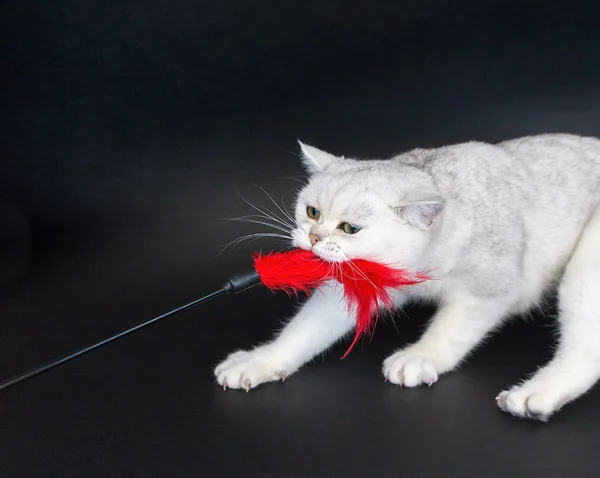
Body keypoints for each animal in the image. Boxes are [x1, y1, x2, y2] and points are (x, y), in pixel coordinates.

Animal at [214, 133, 600, 420]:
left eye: (349, 228)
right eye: (312, 212)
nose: (313, 238)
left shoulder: (489, 287)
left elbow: (450, 330)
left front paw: (421, 356)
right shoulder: (354, 286)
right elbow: (303, 331)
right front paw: (262, 360)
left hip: (585, 266)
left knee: (585, 350)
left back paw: (535, 395)